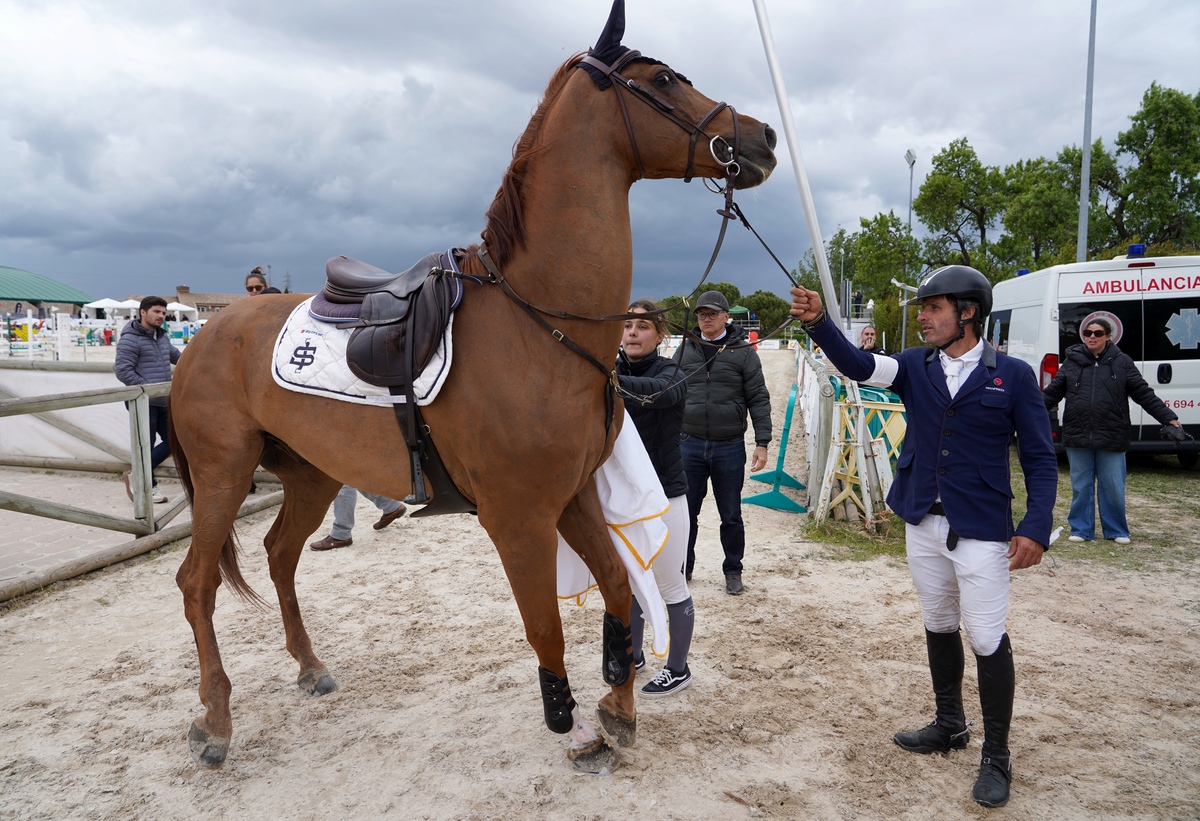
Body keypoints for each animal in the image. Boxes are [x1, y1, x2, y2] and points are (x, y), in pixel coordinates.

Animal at [169, 46, 777, 768]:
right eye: (662, 80)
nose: (763, 136)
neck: (539, 323)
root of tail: (203, 337)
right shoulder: (519, 517)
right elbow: (546, 628)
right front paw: (572, 723)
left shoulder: (573, 495)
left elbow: (616, 590)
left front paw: (617, 706)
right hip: (223, 474)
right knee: (197, 582)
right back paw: (214, 720)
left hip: (310, 474)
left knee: (278, 555)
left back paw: (309, 666)